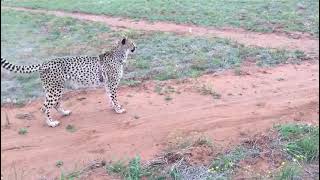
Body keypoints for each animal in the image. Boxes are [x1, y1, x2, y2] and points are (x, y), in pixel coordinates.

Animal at [1, 37, 136, 127]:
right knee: (45, 107)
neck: (118, 54)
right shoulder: (112, 84)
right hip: (54, 89)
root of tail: (44, 63)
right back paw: (51, 123)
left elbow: (110, 97)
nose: (136, 47)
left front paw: (115, 108)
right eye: (132, 43)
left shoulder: (108, 85)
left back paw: (65, 113)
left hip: (55, 88)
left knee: (54, 104)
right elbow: (114, 98)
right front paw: (118, 110)